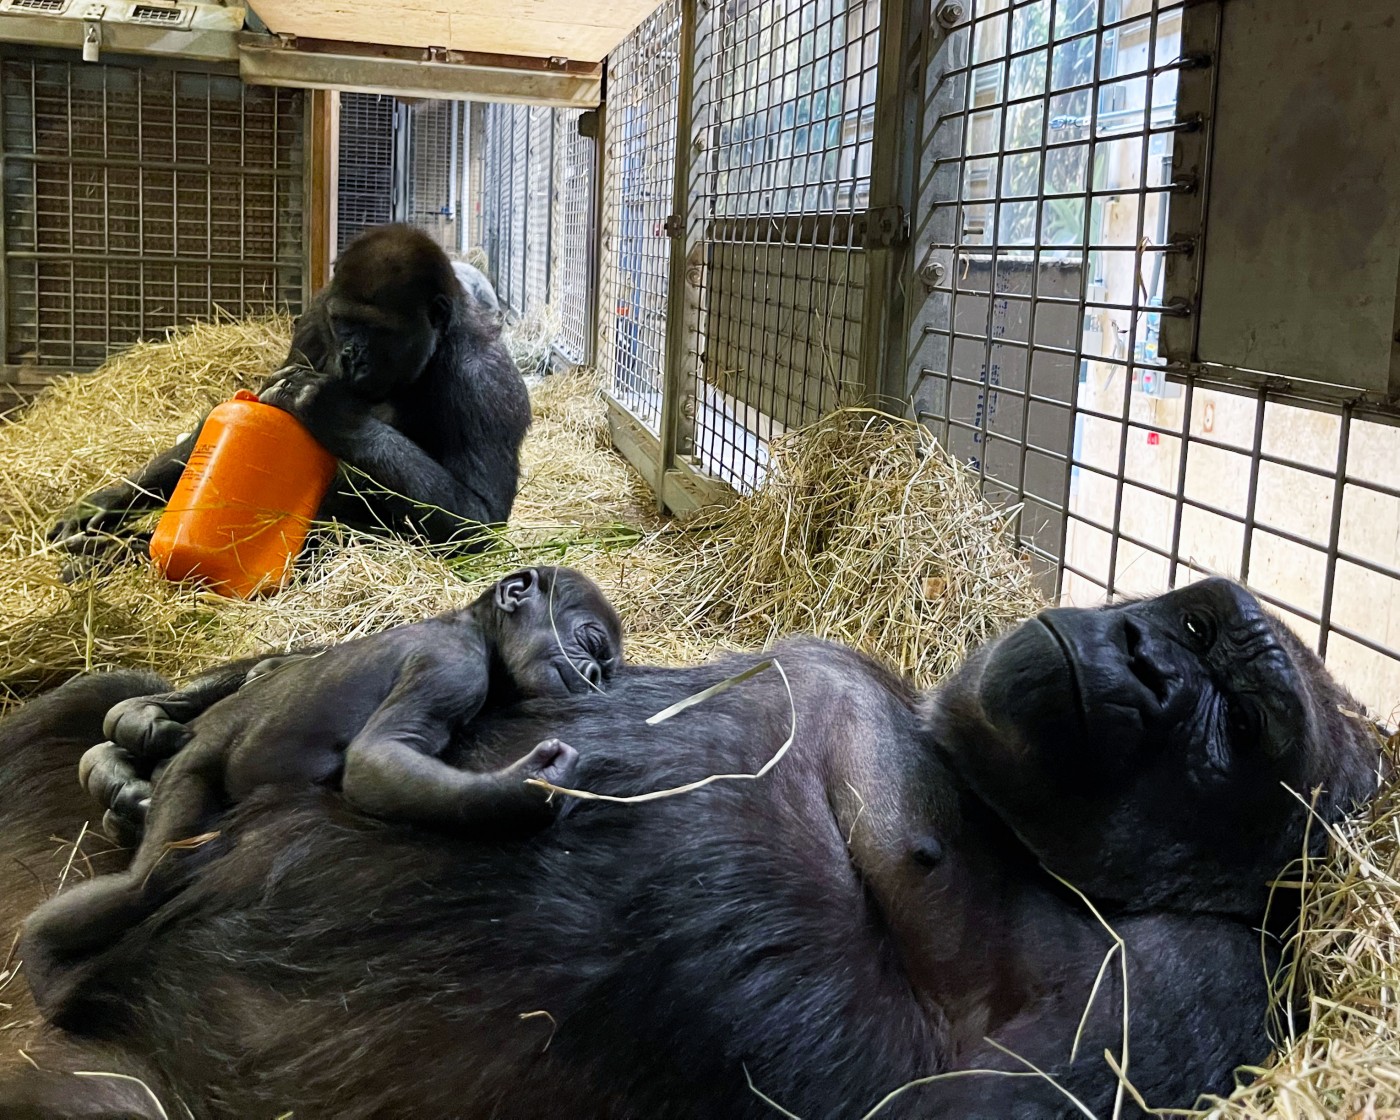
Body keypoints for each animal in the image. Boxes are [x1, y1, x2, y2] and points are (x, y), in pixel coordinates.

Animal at [50, 226, 529, 554]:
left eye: (379, 331)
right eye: (343, 323)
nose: (351, 356)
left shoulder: (484, 381)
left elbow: (478, 519)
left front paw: (332, 412)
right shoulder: (317, 318)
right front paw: (105, 504)